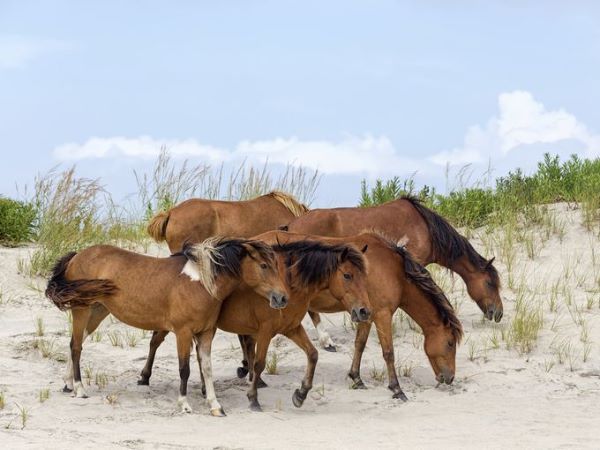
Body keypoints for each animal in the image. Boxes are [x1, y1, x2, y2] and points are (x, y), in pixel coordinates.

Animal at [45, 237, 286, 416]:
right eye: (264, 266)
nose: (282, 298)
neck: (200, 283)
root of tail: (77, 256)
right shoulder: (183, 332)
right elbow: (184, 369)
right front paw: (185, 404)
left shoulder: (206, 333)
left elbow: (207, 369)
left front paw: (215, 406)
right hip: (82, 309)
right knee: (77, 347)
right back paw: (79, 389)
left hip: (98, 310)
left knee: (75, 343)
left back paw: (68, 384)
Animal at [135, 232, 372, 412]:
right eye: (348, 275)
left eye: (364, 276)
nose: (364, 311)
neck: (289, 284)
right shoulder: (266, 330)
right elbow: (259, 363)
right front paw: (253, 398)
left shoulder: (292, 328)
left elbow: (313, 354)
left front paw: (301, 394)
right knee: (155, 341)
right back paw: (145, 377)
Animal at [237, 232, 462, 400]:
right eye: (450, 343)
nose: (450, 377)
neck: (393, 270)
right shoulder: (382, 315)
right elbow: (388, 353)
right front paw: (397, 389)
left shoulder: (365, 314)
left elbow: (359, 345)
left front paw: (356, 378)